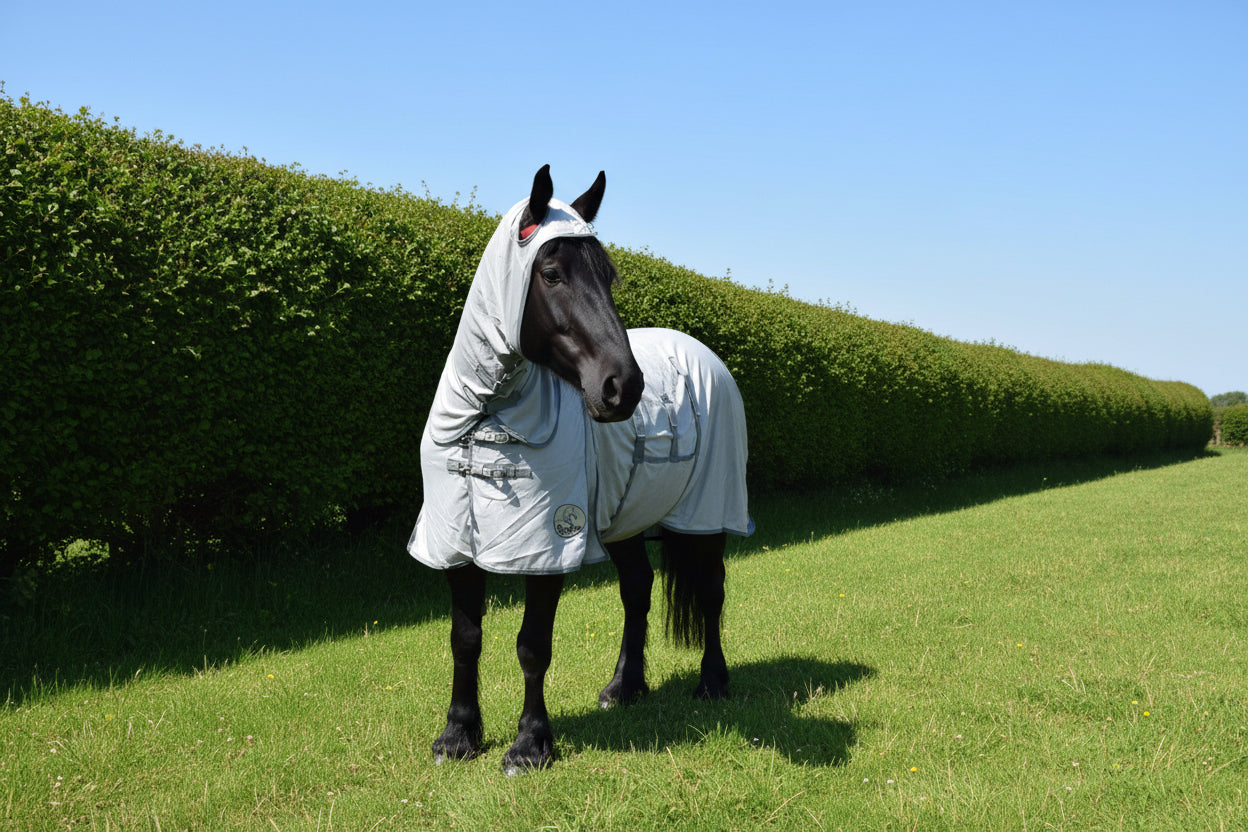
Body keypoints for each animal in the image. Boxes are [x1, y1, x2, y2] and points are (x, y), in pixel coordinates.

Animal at [408, 166, 752, 774]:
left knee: (711, 592)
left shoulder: (548, 545)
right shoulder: (453, 543)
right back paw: (624, 687)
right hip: (624, 518)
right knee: (637, 589)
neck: (483, 423)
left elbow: (532, 645)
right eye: (550, 274)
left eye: (609, 277)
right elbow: (465, 637)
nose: (624, 388)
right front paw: (458, 735)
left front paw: (529, 745)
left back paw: (713, 682)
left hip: (708, 512)